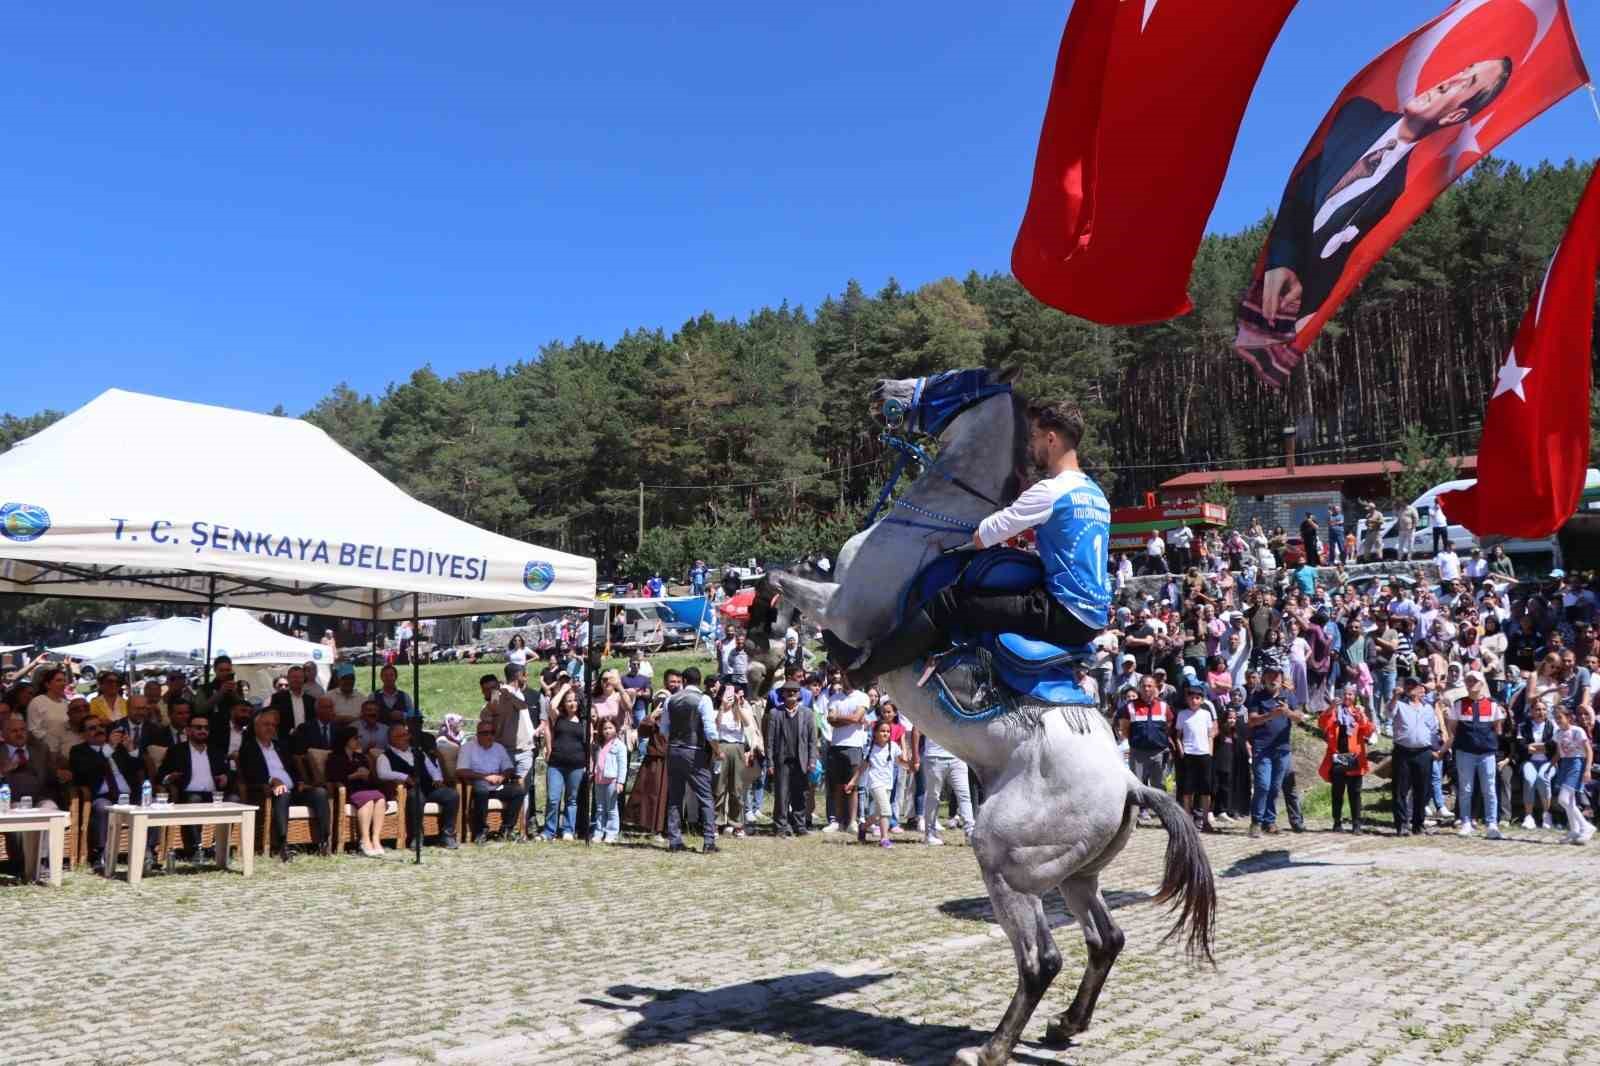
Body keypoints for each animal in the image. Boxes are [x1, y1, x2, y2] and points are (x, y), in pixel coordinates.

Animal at [752, 368, 1209, 1062]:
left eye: (942, 381)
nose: (882, 389)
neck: (925, 523)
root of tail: (1132, 782)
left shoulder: (844, 612)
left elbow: (781, 578)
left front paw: (763, 634)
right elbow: (789, 572)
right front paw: (769, 633)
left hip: (1004, 857)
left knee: (1042, 958)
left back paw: (992, 1046)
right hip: (1076, 875)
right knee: (1105, 940)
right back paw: (1065, 1026)